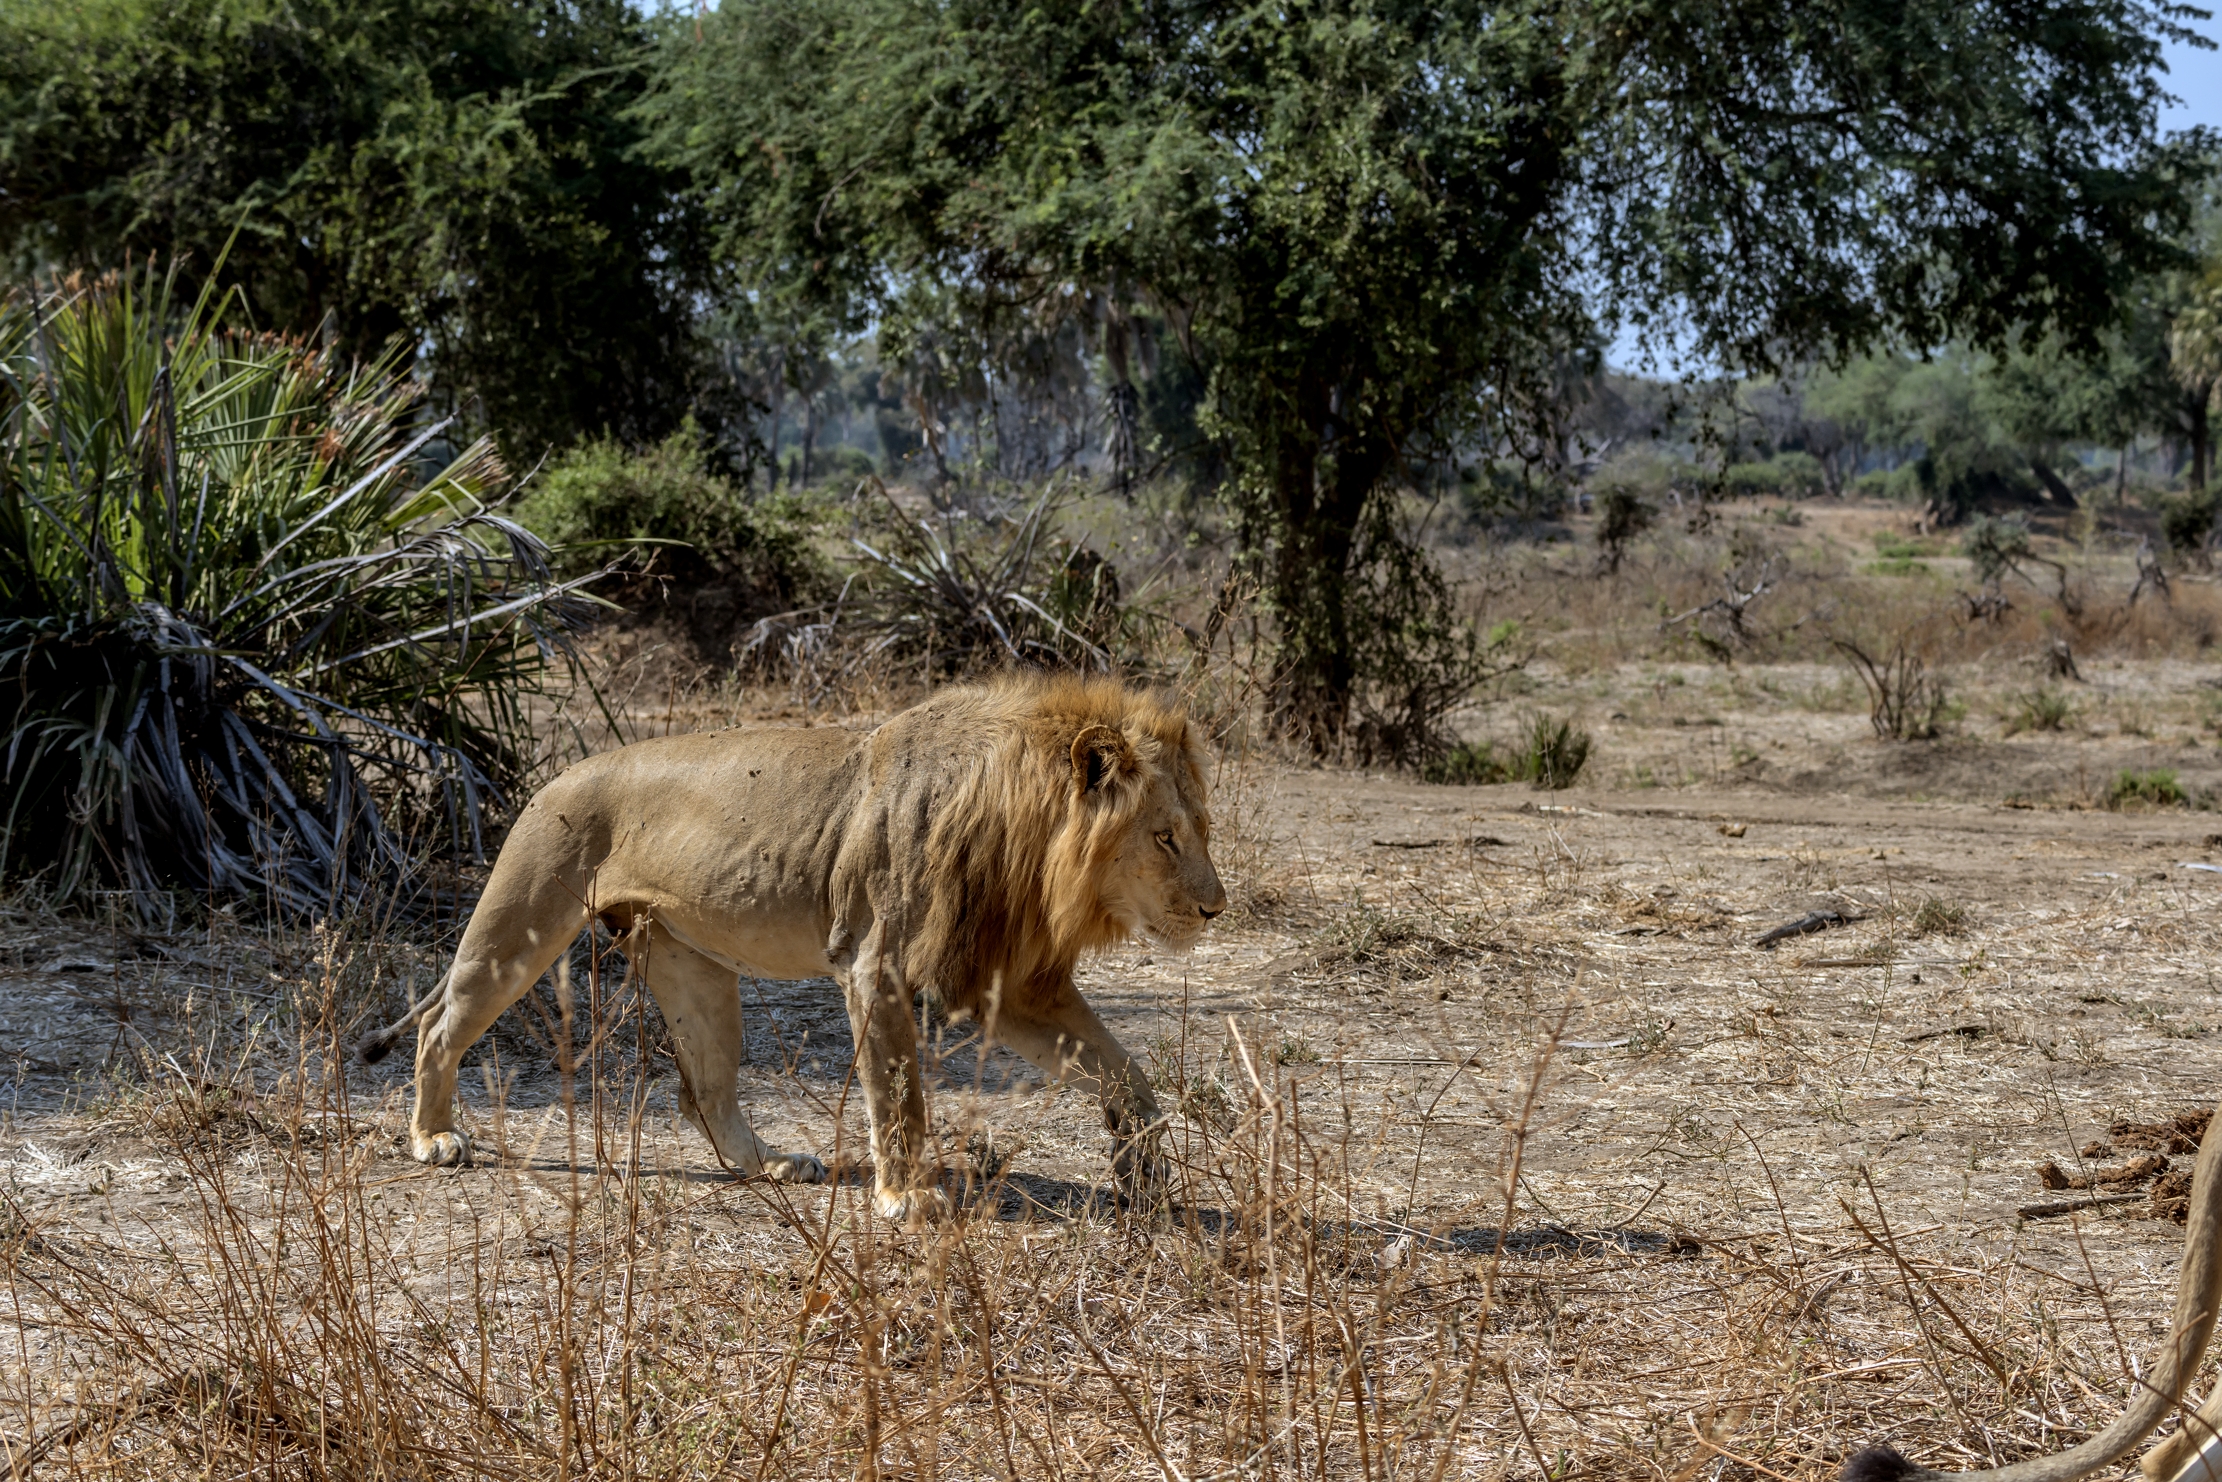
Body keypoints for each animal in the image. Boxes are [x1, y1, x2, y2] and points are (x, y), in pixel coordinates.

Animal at [358, 675, 1225, 1222]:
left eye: (1200, 831)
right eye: (1163, 837)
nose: (1216, 909)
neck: (1025, 830)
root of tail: (555, 776)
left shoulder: (1002, 981)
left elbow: (1123, 1069)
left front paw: (1144, 1169)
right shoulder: (877, 965)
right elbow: (900, 1095)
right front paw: (904, 1197)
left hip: (692, 966)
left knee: (703, 1092)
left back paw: (770, 1163)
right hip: (523, 923)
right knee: (439, 1026)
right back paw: (433, 1137)